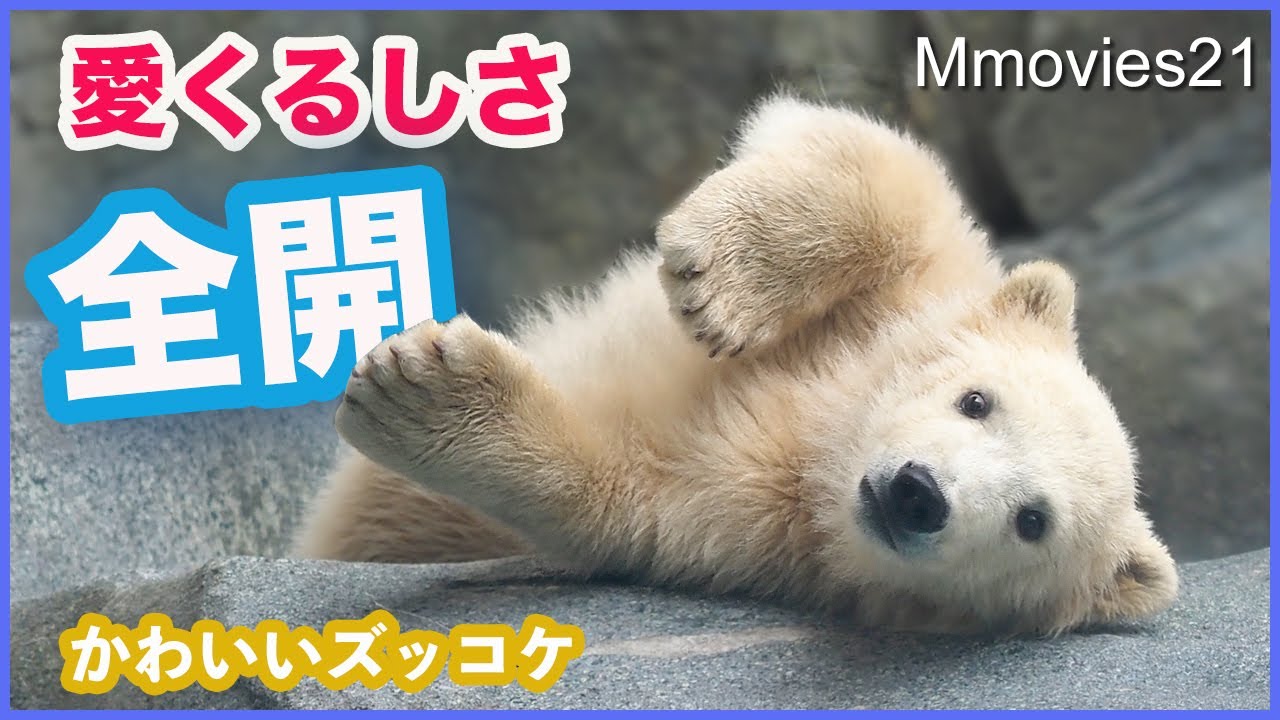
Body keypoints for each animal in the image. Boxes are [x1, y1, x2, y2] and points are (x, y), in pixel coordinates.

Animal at [293, 95, 1178, 635]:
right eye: (976, 400)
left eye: (1033, 522)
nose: (918, 493)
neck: (822, 437)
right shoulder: (920, 288)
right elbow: (877, 161)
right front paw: (722, 282)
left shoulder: (745, 525)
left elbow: (613, 493)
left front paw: (422, 392)